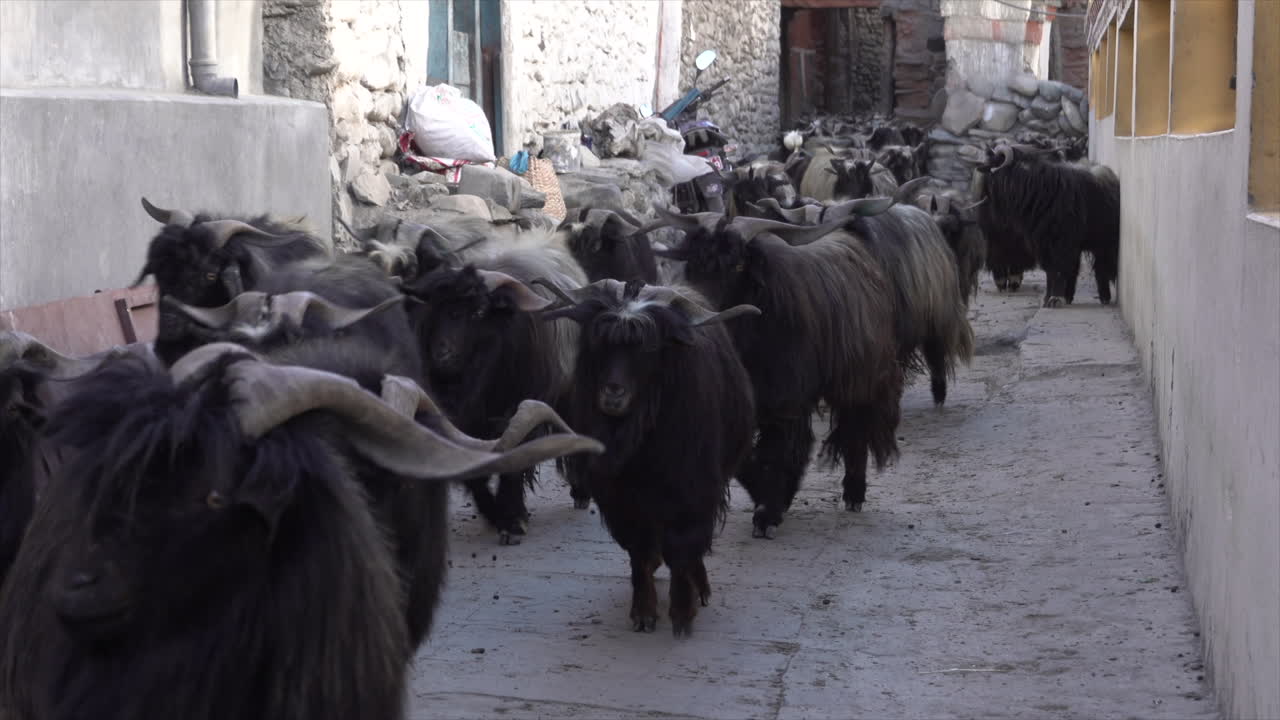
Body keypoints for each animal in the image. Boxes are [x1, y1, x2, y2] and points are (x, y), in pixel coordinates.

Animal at [402, 231, 589, 543]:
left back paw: (581, 492)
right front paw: (495, 514)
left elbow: (515, 459)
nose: (442, 354)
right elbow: (473, 471)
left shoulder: (523, 411)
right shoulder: (460, 421)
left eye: (478, 311)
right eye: (432, 308)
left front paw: (511, 520)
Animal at [541, 280, 757, 635]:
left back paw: (701, 589)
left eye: (647, 348)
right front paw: (643, 612)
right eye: (600, 342)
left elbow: (681, 546)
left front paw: (682, 613)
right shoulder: (620, 498)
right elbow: (639, 550)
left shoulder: (691, 489)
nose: (612, 393)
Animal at [651, 206, 903, 538]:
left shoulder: (783, 397)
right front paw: (769, 502)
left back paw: (853, 494)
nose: (695, 308)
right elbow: (747, 457)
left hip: (863, 378)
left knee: (855, 430)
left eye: (738, 264)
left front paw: (766, 514)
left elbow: (774, 452)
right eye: (693, 260)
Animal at [976, 142, 1120, 307]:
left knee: (1100, 268)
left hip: (1102, 242)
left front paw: (1055, 298)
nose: (979, 167)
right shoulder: (1044, 243)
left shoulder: (1061, 242)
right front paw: (1048, 299)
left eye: (994, 161)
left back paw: (1104, 298)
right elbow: (1051, 271)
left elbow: (1058, 268)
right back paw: (1069, 297)